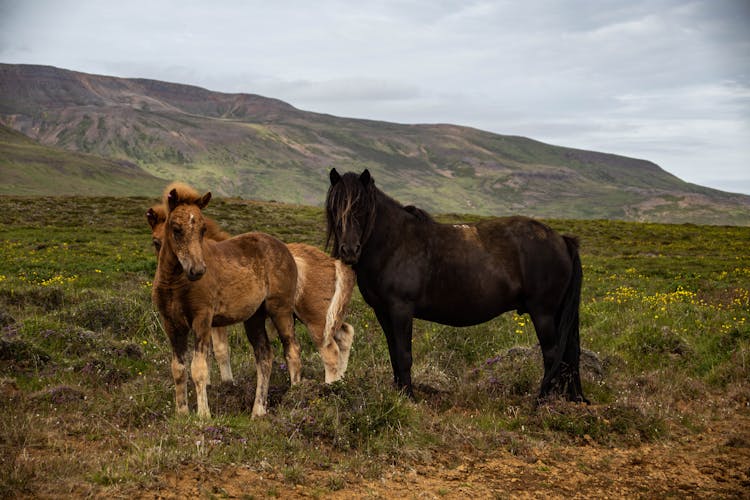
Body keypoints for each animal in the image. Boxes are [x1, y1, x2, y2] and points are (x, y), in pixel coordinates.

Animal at [149, 200, 358, 382]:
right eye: (155, 242)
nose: (190, 270)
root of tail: (335, 262)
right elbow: (216, 351)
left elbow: (219, 350)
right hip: (325, 317)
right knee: (345, 334)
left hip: (315, 320)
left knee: (329, 351)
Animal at [153, 184, 302, 418]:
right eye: (176, 228)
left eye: (203, 229)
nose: (197, 270)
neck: (175, 283)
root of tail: (285, 248)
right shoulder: (171, 323)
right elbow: (178, 369)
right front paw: (182, 413)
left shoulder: (202, 319)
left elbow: (199, 368)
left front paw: (203, 416)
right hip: (254, 317)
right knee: (265, 357)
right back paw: (257, 411)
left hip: (281, 310)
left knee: (292, 350)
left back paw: (295, 398)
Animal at [326, 168, 592, 402]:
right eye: (335, 207)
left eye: (362, 208)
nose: (349, 251)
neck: (394, 243)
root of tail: (562, 240)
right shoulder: (383, 312)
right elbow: (394, 354)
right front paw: (399, 394)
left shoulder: (401, 309)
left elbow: (403, 355)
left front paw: (409, 398)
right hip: (556, 313)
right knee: (569, 352)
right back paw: (571, 398)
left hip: (543, 312)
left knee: (552, 354)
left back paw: (542, 400)